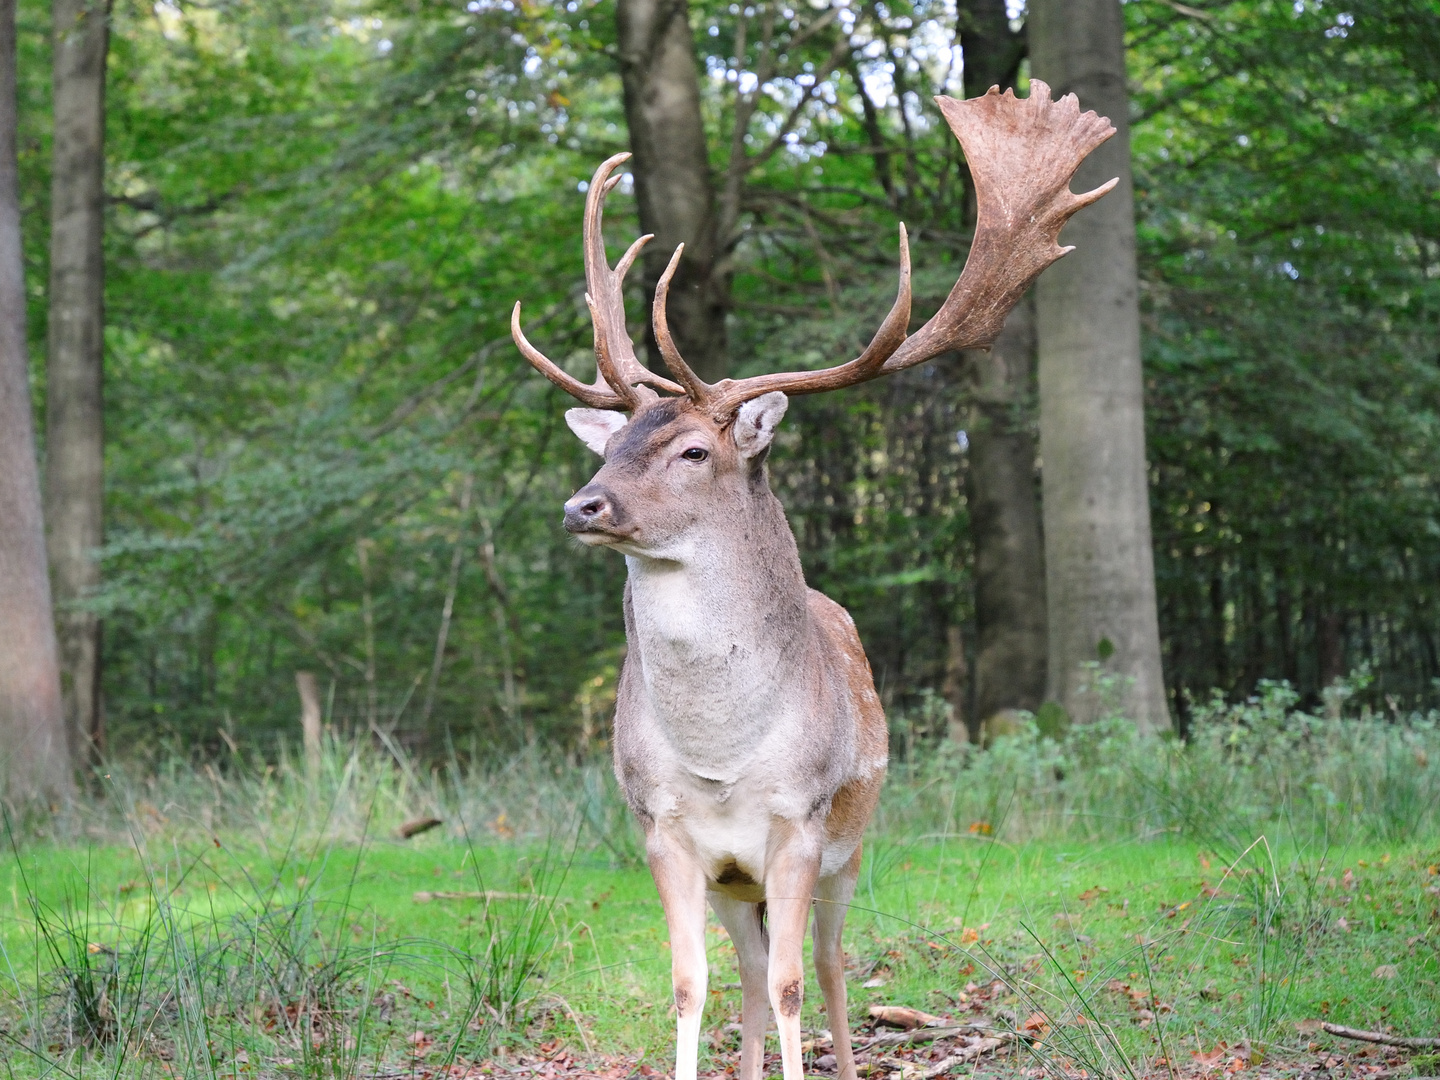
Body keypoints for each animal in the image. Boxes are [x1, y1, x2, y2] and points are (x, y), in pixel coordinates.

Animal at [512, 82, 1117, 1080]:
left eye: (693, 450)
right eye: (616, 444)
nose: (582, 504)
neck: (721, 758)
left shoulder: (801, 823)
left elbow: (801, 981)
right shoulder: (661, 829)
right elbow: (692, 987)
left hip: (854, 844)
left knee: (829, 964)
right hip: (737, 882)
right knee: (751, 974)